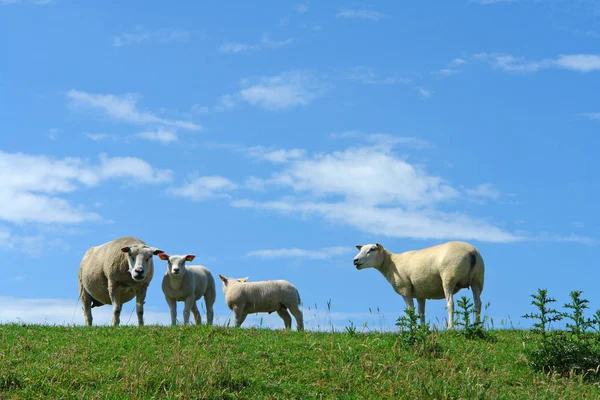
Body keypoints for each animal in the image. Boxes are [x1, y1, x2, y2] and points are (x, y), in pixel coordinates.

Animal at [354, 241, 486, 328]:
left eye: (371, 249)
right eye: (361, 250)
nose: (355, 260)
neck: (391, 263)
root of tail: (471, 252)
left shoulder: (405, 289)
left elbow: (410, 311)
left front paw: (412, 328)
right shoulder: (420, 293)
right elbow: (421, 312)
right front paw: (422, 329)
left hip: (449, 277)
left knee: (450, 304)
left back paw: (450, 328)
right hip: (477, 279)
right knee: (478, 303)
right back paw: (477, 326)